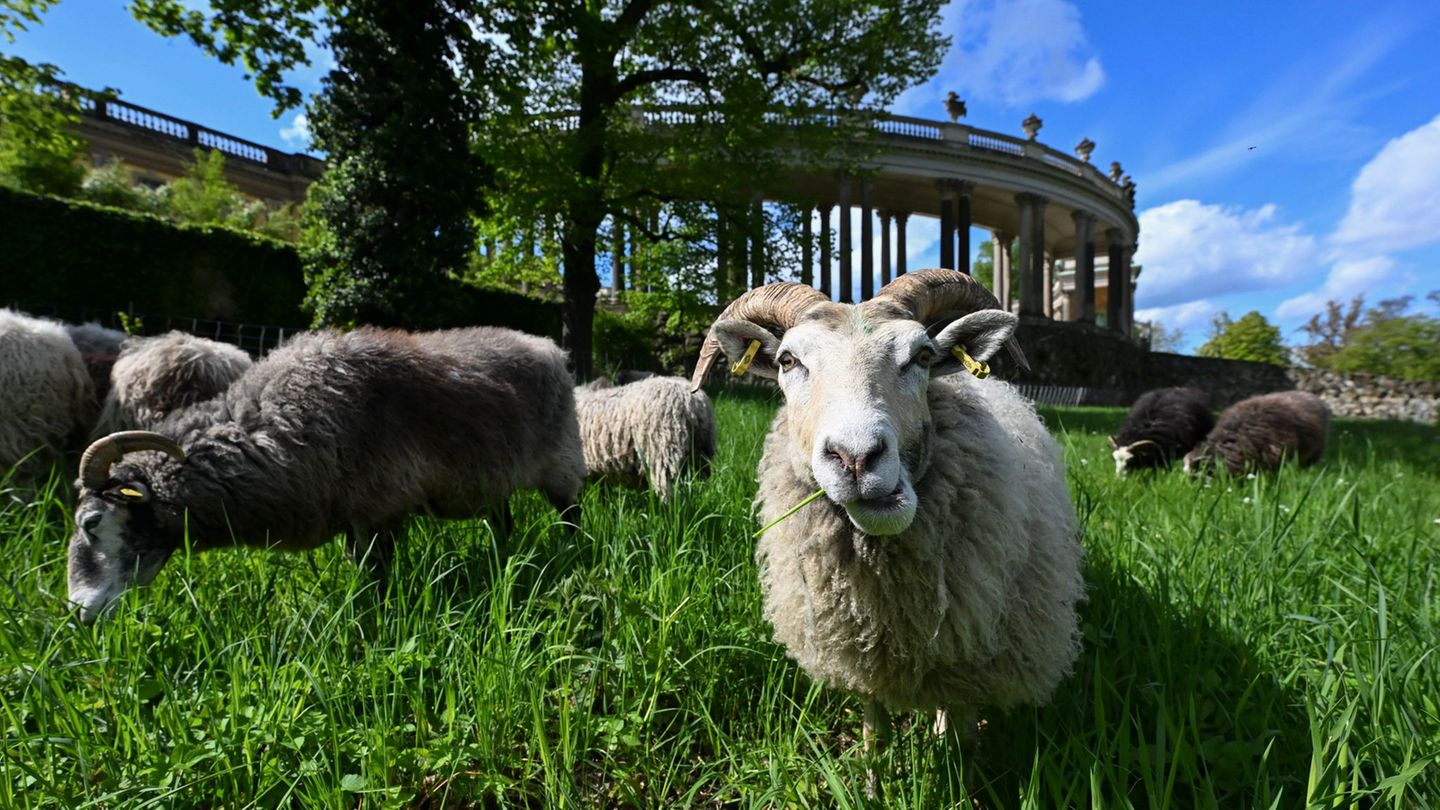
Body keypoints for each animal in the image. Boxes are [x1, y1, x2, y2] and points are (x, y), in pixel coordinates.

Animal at [691, 270, 1084, 779]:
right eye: (788, 360)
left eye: (922, 356)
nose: (856, 457)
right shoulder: (859, 650)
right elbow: (874, 727)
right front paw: (873, 777)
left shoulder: (969, 658)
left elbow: (960, 736)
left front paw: (956, 775)